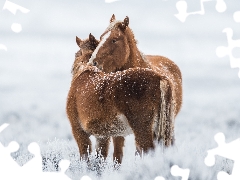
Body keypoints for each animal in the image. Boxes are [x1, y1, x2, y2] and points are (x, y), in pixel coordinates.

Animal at [65, 34, 174, 164]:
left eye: (77, 54)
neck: (85, 71)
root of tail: (159, 77)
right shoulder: (102, 137)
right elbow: (100, 158)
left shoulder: (79, 131)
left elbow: (85, 157)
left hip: (142, 130)